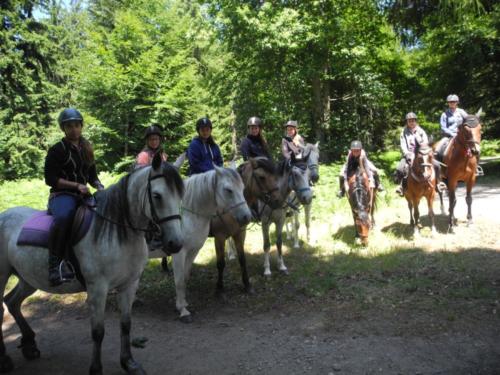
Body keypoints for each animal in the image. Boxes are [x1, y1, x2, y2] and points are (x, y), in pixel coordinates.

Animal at [0, 154, 184, 374]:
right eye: (157, 195)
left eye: (181, 195)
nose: (176, 243)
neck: (119, 230)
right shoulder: (98, 288)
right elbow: (98, 332)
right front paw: (96, 369)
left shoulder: (129, 285)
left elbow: (126, 325)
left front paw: (129, 363)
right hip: (3, 274)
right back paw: (5, 358)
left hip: (28, 278)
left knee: (12, 302)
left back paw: (29, 345)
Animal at [147, 167, 250, 324]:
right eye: (228, 190)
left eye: (243, 188)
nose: (247, 216)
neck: (188, 215)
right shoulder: (179, 253)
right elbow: (179, 281)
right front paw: (183, 311)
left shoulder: (193, 251)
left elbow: (185, 278)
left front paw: (183, 303)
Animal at [210, 157, 284, 296]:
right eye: (261, 177)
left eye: (275, 176)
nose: (279, 201)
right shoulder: (219, 237)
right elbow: (220, 263)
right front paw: (219, 288)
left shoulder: (240, 233)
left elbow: (242, 259)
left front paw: (247, 285)